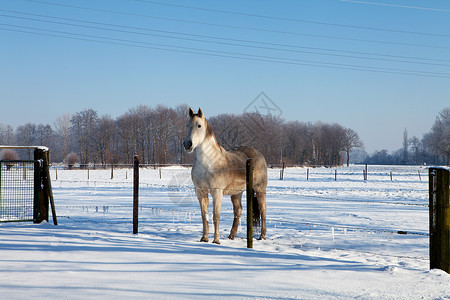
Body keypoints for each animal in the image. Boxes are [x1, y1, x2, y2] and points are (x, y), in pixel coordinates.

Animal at [183, 108, 268, 244]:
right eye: (187, 125)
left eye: (199, 125)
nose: (187, 144)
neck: (208, 162)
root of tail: (258, 154)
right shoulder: (200, 192)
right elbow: (204, 215)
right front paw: (204, 238)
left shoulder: (217, 192)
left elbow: (216, 216)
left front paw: (216, 240)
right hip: (236, 193)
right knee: (238, 210)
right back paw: (231, 236)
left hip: (260, 189)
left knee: (263, 210)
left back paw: (262, 236)